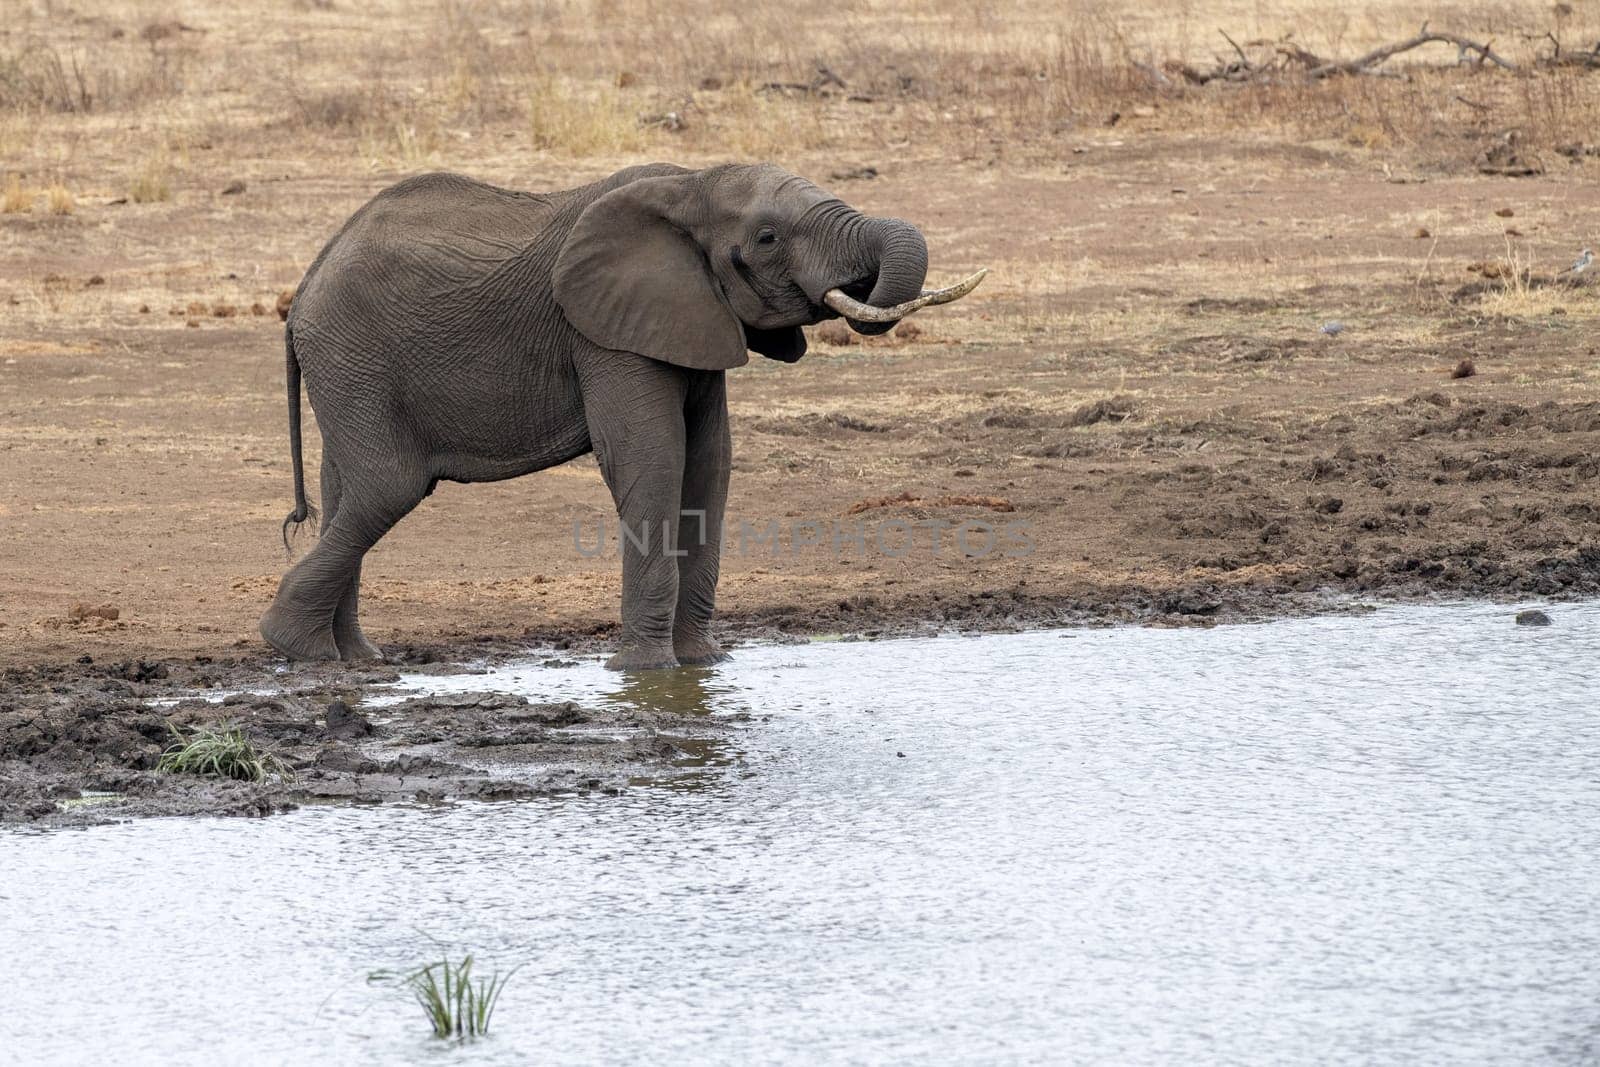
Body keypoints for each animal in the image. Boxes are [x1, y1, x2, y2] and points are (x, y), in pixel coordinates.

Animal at [260, 160, 979, 668]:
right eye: (768, 237)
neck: (689, 185)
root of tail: (304, 289)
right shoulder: (604, 335)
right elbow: (653, 459)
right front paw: (645, 672)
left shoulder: (691, 318)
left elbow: (709, 467)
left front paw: (702, 665)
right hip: (356, 358)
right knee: (389, 486)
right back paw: (296, 648)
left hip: (351, 370)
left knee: (346, 490)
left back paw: (354, 659)